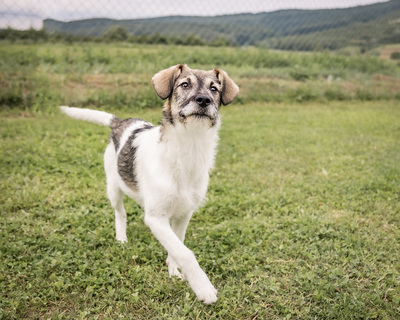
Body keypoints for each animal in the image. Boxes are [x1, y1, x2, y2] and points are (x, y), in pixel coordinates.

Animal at [61, 63, 239, 304]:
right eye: (185, 84)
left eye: (214, 88)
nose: (204, 100)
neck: (188, 149)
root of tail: (121, 122)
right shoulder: (155, 217)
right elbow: (185, 252)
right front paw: (203, 287)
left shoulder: (184, 214)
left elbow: (177, 245)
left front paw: (174, 272)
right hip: (113, 188)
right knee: (120, 213)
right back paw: (121, 238)